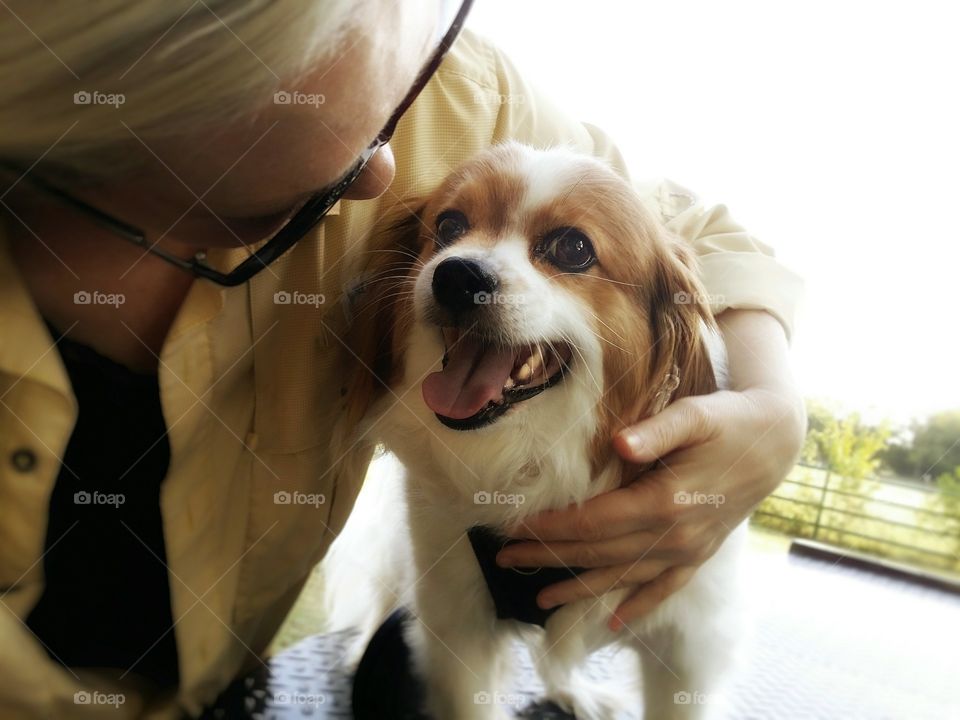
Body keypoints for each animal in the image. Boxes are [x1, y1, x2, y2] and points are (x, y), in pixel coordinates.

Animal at [328, 142, 744, 720]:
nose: (456, 276)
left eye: (573, 248)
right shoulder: (459, 627)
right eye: (449, 226)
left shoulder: (687, 644)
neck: (535, 458)